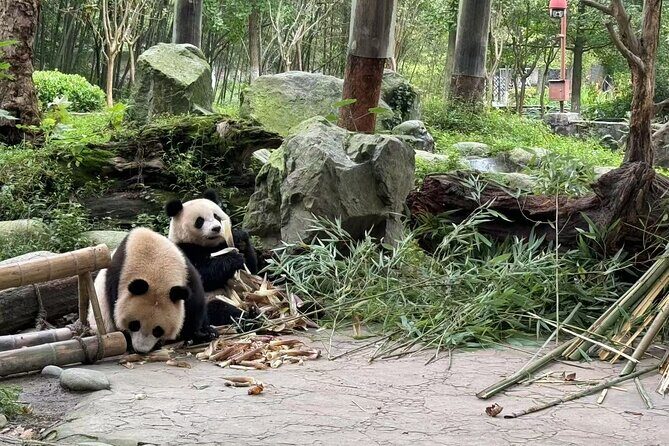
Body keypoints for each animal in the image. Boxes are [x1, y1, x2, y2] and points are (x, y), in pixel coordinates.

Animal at [88, 227, 217, 353]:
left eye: (158, 330)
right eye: (134, 325)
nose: (141, 350)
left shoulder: (186, 272)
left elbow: (195, 305)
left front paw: (201, 334)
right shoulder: (116, 280)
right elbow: (115, 311)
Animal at [165, 189, 259, 326]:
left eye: (216, 216)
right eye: (200, 221)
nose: (217, 228)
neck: (207, 246)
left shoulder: (222, 244)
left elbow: (251, 270)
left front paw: (239, 238)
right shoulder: (183, 251)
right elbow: (202, 277)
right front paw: (233, 259)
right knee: (218, 309)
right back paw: (249, 318)